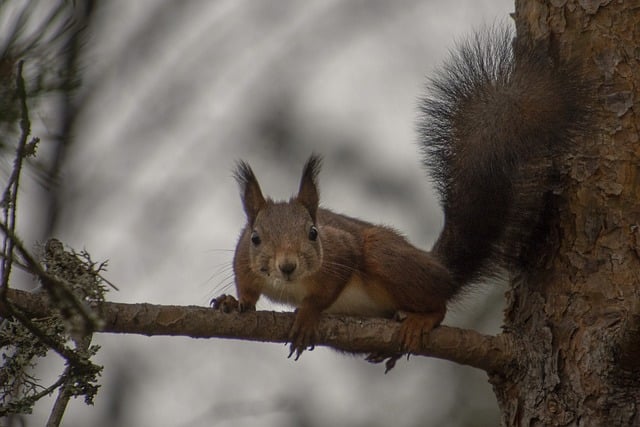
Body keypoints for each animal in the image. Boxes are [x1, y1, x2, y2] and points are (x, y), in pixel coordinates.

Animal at [212, 25, 592, 368]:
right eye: (256, 238)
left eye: (313, 233)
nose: (287, 265)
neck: (291, 284)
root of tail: (442, 270)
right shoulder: (242, 258)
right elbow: (247, 290)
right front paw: (236, 303)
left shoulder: (341, 251)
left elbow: (324, 292)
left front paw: (306, 315)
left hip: (388, 258)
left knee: (439, 303)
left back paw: (421, 320)